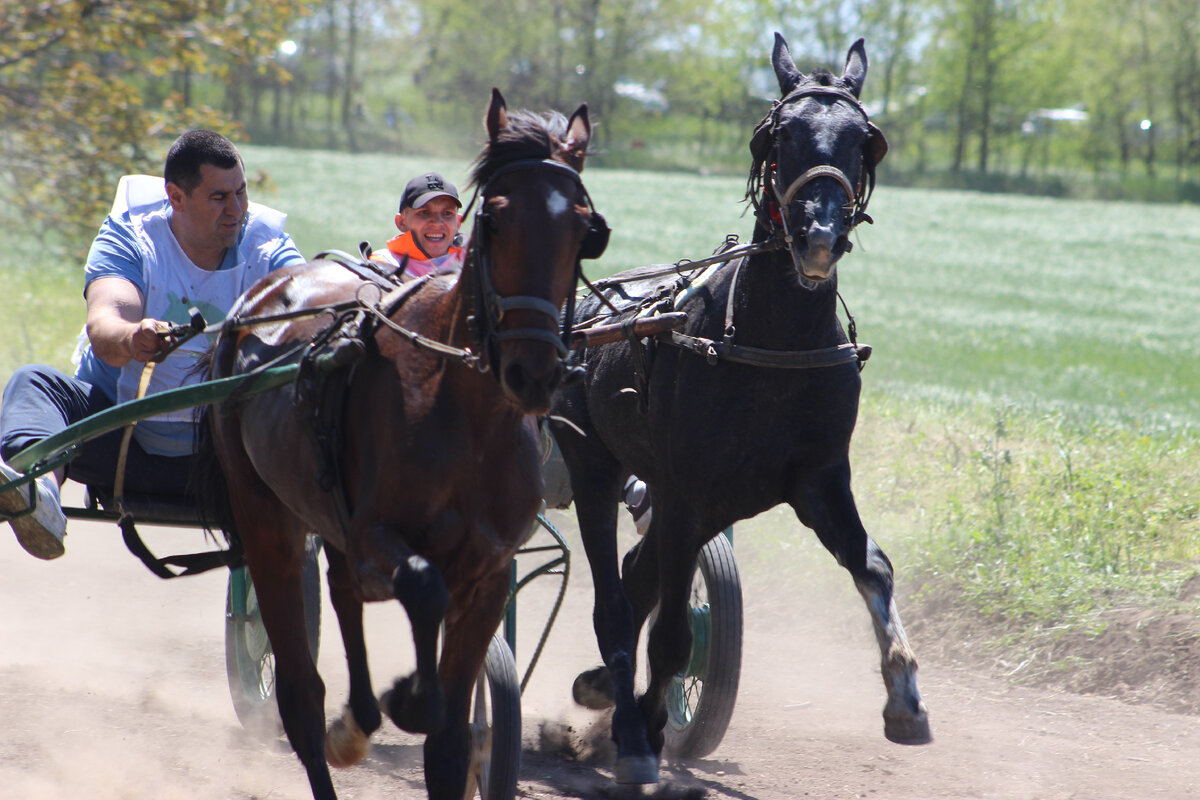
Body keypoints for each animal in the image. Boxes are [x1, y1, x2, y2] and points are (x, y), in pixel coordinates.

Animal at [199, 90, 609, 796]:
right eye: (495, 219)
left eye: (585, 228)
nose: (533, 371)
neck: (468, 419)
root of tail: (261, 298)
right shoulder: (376, 536)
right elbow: (419, 585)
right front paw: (410, 697)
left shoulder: (489, 574)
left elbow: (449, 745)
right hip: (266, 517)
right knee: (301, 693)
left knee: (340, 591)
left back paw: (359, 715)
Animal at [549, 34, 931, 786]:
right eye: (779, 136)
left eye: (864, 139)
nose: (819, 237)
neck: (770, 342)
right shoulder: (687, 490)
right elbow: (669, 636)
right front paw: (648, 732)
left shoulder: (817, 481)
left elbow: (872, 566)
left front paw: (904, 693)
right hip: (595, 468)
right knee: (617, 601)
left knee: (639, 577)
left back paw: (605, 688)